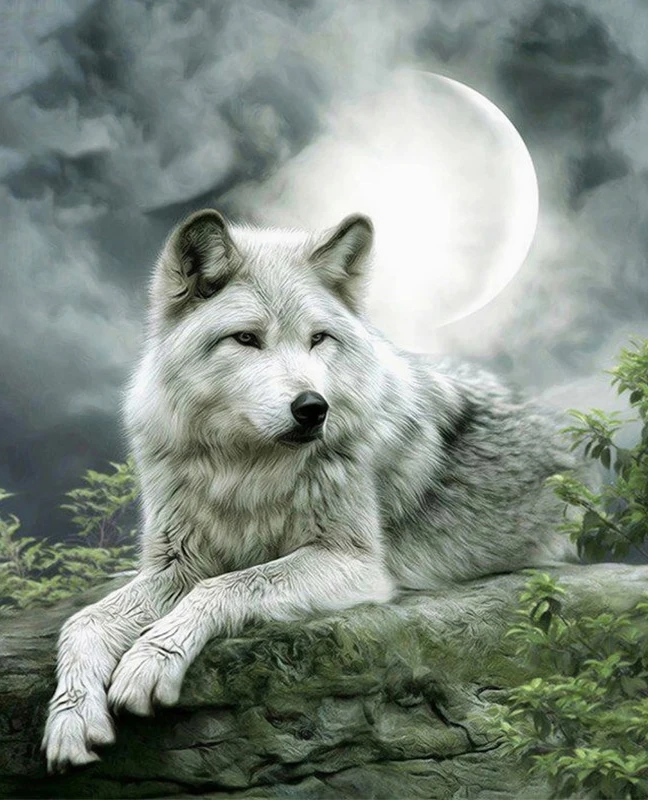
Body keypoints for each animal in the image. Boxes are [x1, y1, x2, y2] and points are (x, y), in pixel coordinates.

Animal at [42, 209, 578, 771]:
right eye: (246, 339)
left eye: (318, 339)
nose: (312, 407)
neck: (245, 470)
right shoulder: (177, 564)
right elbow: (82, 622)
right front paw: (71, 717)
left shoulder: (355, 563)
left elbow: (226, 585)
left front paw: (149, 659)